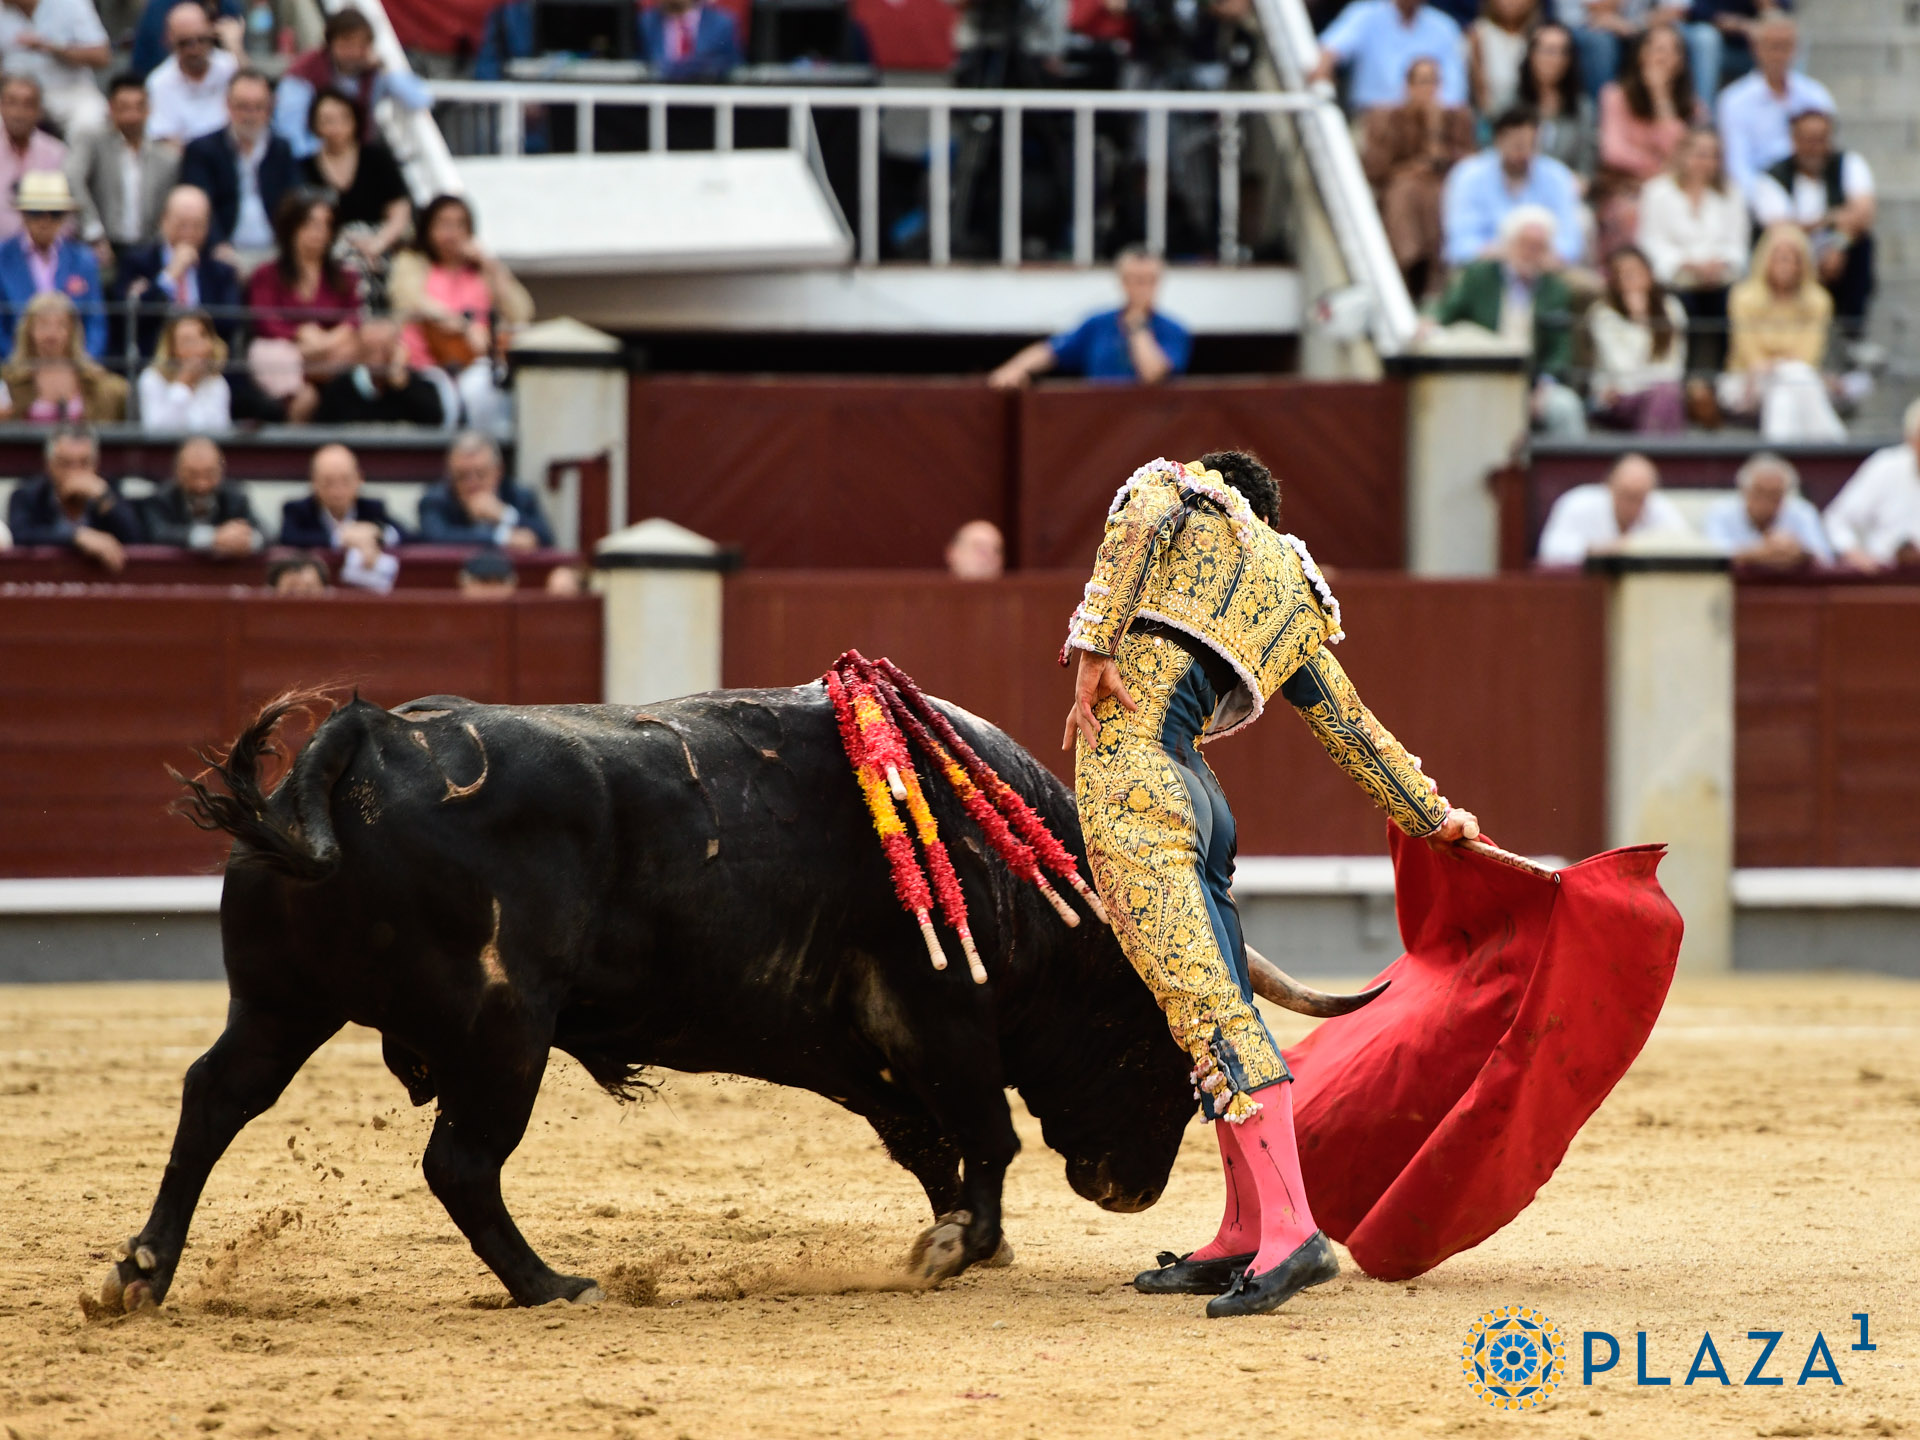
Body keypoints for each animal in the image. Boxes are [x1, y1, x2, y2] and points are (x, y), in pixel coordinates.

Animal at [100, 685, 1372, 1313]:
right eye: (1159, 1049)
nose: (1130, 1191)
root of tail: (355, 746)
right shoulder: (937, 1016)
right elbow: (987, 1134)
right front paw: (963, 1246)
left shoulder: (845, 1039)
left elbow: (927, 1138)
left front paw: (961, 1239)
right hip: (505, 1033)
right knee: (460, 1163)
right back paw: (553, 1285)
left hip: (281, 1003)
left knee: (215, 1099)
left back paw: (139, 1274)